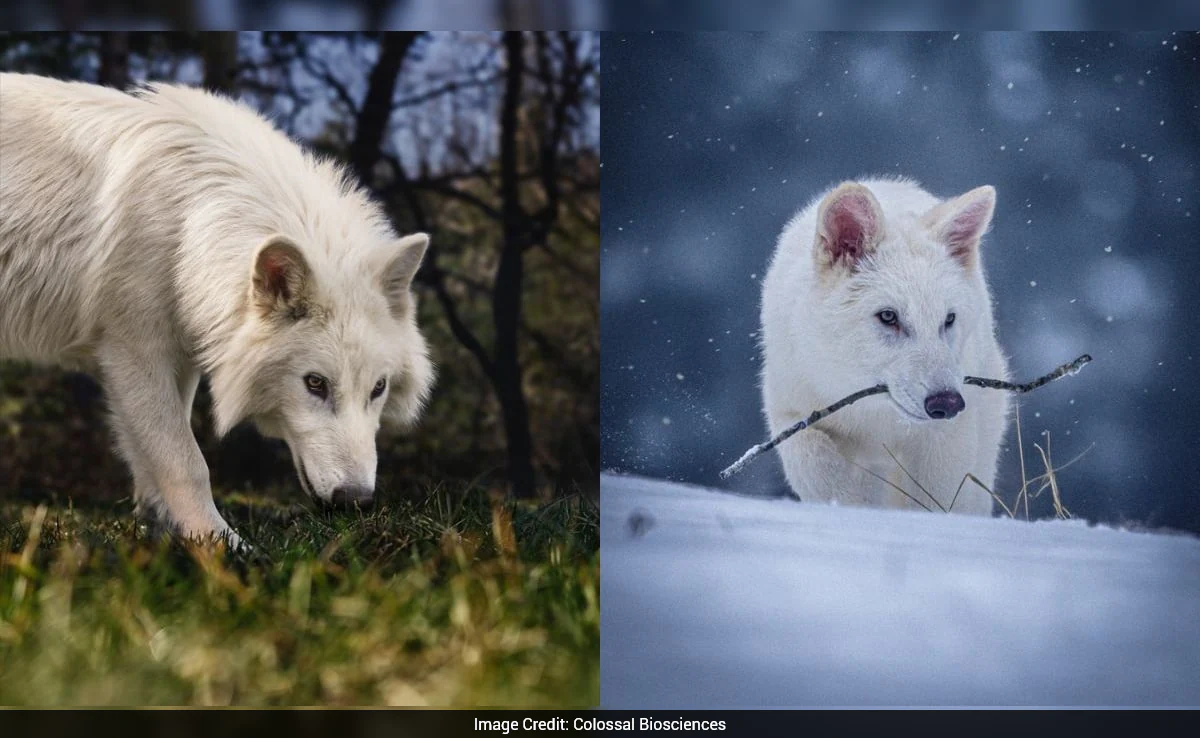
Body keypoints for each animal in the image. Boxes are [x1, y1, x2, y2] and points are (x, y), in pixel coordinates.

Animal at [0, 73, 435, 545]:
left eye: (379, 388)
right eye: (315, 383)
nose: (355, 501)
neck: (189, 220)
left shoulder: (180, 359)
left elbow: (150, 459)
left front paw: (163, 534)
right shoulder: (132, 354)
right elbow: (186, 461)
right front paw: (223, 547)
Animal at [760, 178, 1009, 515]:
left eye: (948, 319)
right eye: (888, 316)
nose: (947, 403)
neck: (875, 415)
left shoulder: (946, 437)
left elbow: (936, 501)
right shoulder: (792, 413)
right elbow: (818, 468)